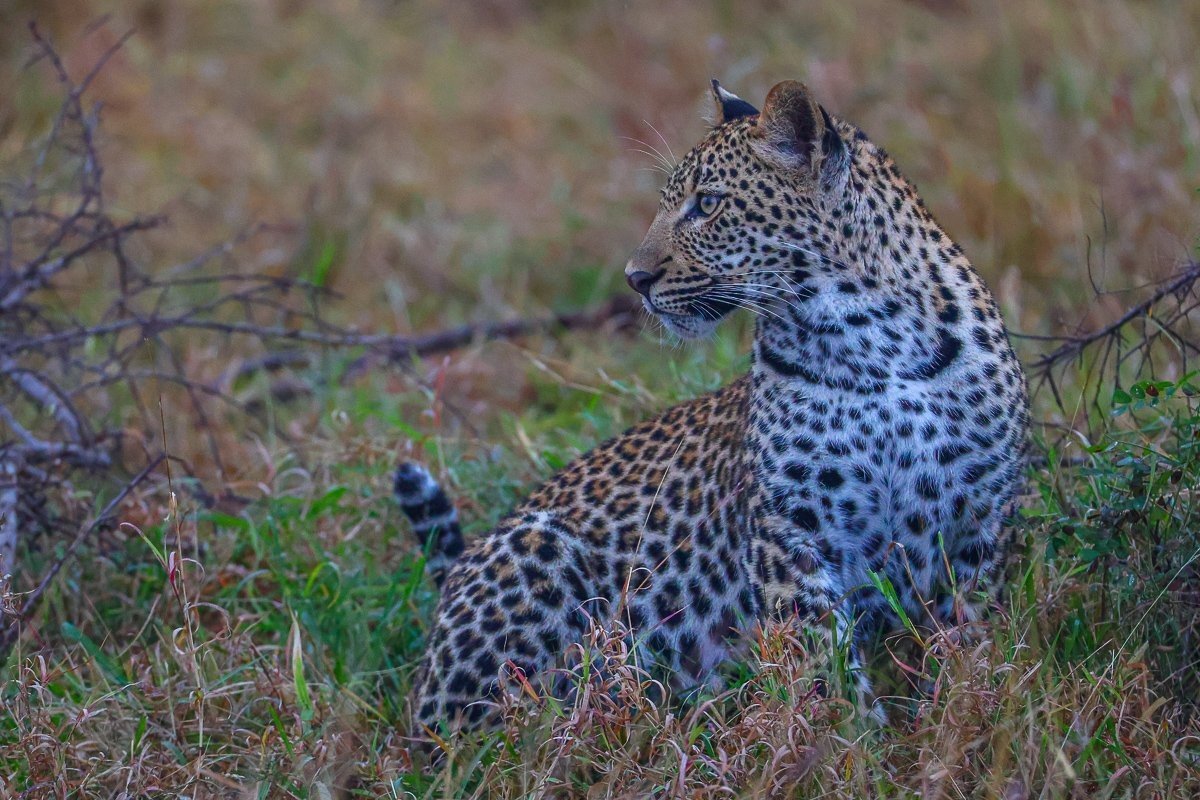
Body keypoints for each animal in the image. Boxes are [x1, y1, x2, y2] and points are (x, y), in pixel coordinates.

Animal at [394, 79, 1030, 736]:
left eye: (707, 204)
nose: (635, 278)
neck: (875, 343)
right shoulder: (790, 533)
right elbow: (822, 658)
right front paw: (853, 740)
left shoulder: (980, 519)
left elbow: (968, 637)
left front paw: (963, 712)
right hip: (535, 557)